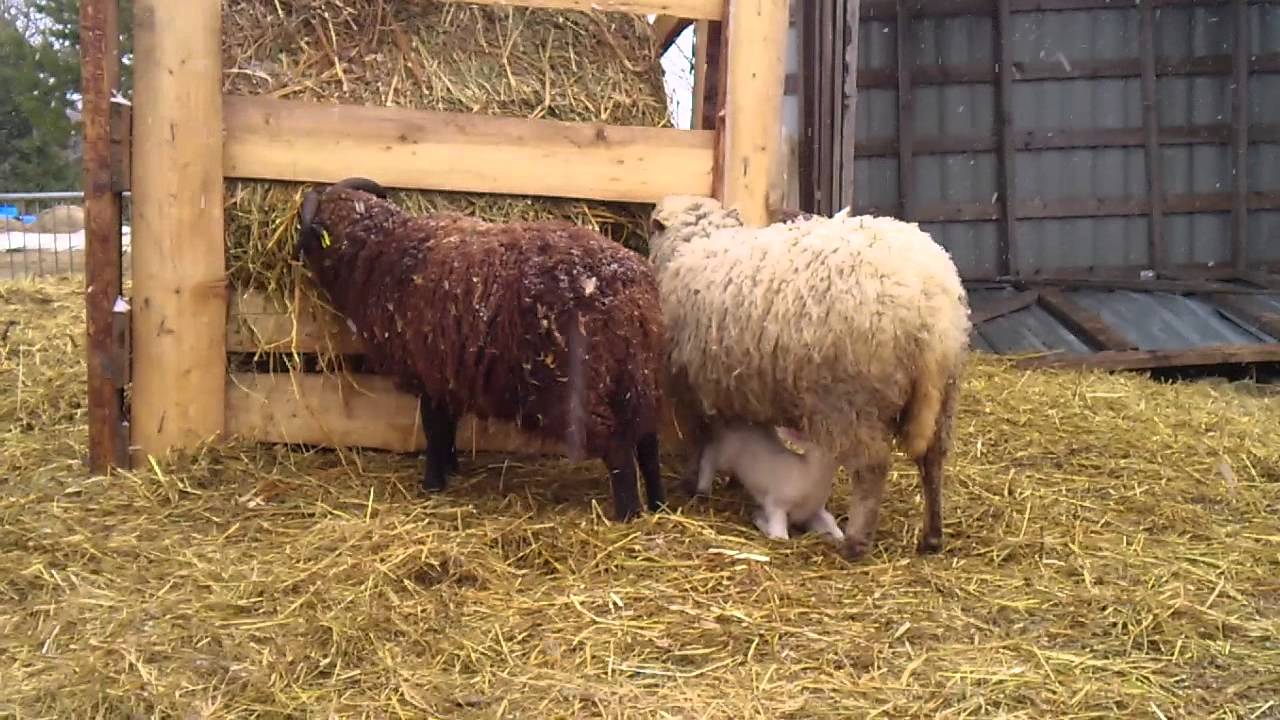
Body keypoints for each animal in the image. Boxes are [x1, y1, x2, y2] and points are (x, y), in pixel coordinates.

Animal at [296, 177, 669, 521]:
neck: (384, 249)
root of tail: (632, 291)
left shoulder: (429, 372)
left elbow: (434, 429)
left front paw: (432, 484)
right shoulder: (448, 375)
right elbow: (446, 428)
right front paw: (451, 468)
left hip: (582, 387)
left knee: (618, 449)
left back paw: (627, 513)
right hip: (638, 377)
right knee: (648, 443)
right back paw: (658, 504)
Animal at [696, 421, 843, 542]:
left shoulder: (815, 509)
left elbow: (830, 521)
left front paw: (838, 536)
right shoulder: (777, 502)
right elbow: (779, 530)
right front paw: (765, 525)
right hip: (725, 455)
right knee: (710, 454)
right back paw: (703, 488)